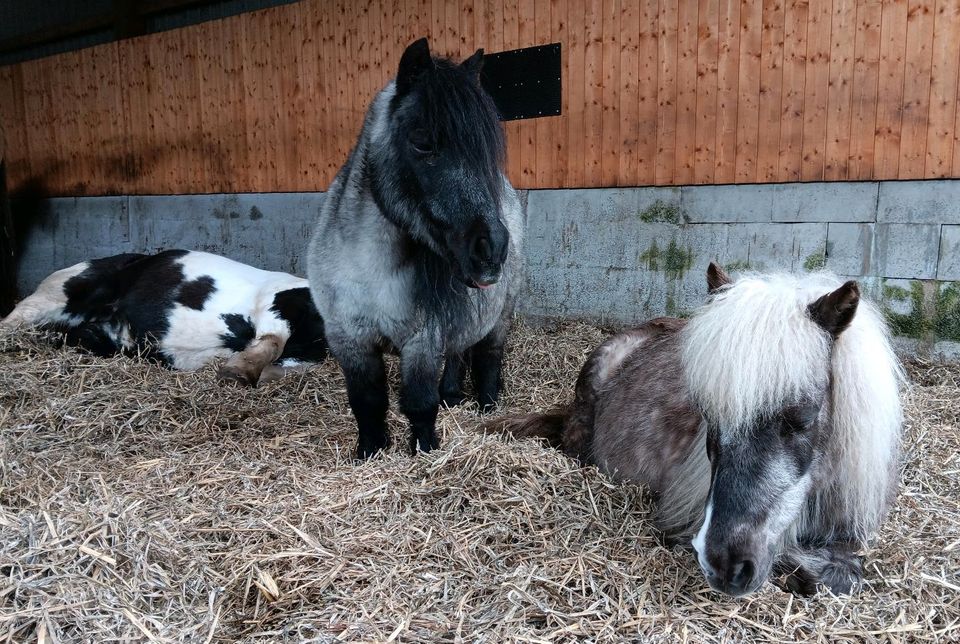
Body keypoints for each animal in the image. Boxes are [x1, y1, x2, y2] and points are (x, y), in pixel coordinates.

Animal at [1, 249, 328, 384]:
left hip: (98, 335)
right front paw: (236, 373)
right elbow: (271, 342)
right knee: (22, 314)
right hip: (68, 287)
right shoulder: (276, 303)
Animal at [306, 39, 520, 458]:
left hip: (500, 314)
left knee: (489, 355)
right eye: (422, 142)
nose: (492, 248)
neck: (369, 268)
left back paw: (487, 405)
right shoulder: (349, 340)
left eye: (484, 151)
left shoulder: (420, 342)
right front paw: (368, 452)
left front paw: (425, 450)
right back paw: (452, 395)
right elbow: (367, 403)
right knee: (457, 352)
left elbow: (420, 404)